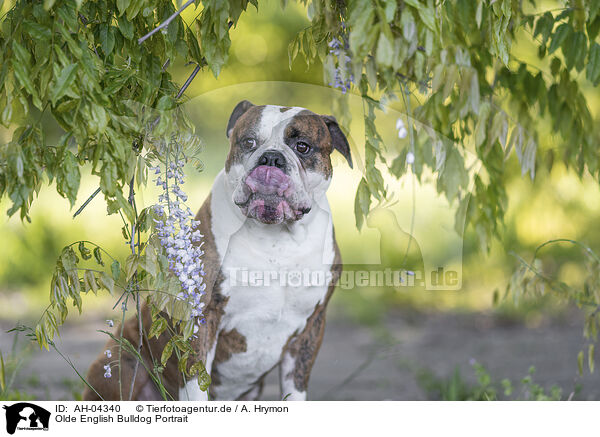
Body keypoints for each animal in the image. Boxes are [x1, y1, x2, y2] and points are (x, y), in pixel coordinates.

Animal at [84, 100, 354, 400]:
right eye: (248, 142)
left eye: (303, 146)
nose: (271, 158)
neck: (276, 238)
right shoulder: (202, 315)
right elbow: (195, 383)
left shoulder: (311, 327)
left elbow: (295, 389)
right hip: (121, 364)